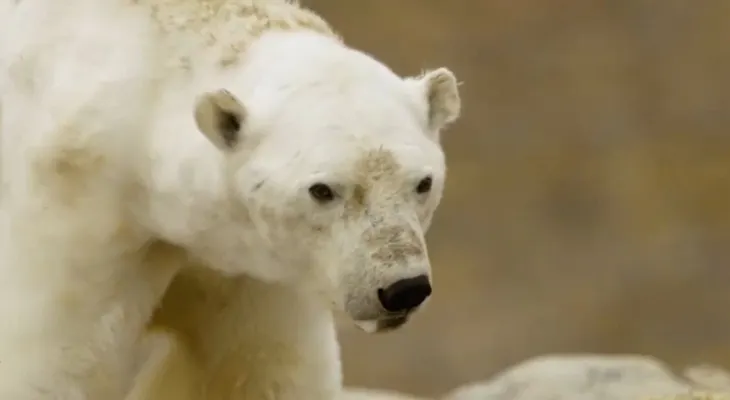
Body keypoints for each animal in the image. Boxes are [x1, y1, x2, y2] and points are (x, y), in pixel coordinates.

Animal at [0, 0, 461, 399]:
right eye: (323, 190)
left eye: (423, 183)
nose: (403, 289)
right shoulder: (76, 217)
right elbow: (53, 366)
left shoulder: (252, 269)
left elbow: (256, 370)